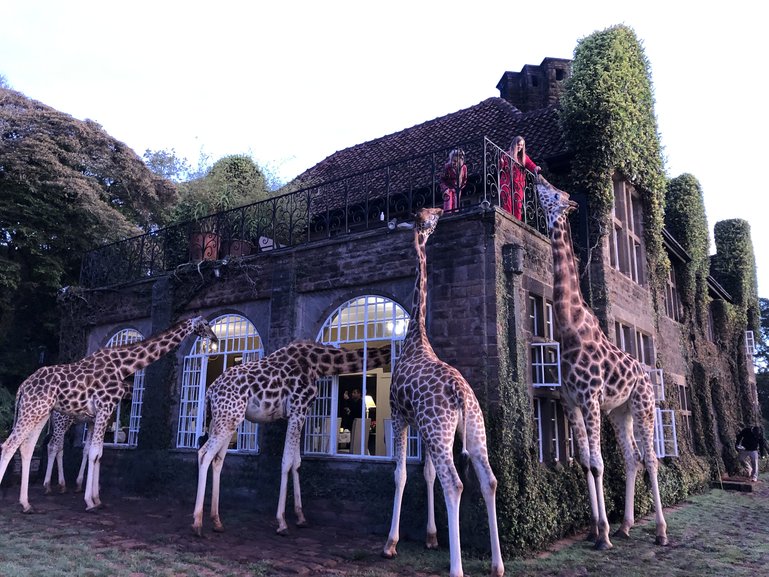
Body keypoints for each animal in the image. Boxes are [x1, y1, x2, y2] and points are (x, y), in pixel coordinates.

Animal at [0, 316, 217, 513]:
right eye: (206, 324)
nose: (215, 338)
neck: (124, 367)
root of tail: (22, 387)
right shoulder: (105, 408)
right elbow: (95, 453)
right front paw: (90, 502)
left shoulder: (99, 415)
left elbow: (95, 453)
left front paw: (96, 498)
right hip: (37, 411)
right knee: (12, 445)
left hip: (41, 413)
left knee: (27, 448)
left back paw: (27, 504)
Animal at [191, 340, 392, 537]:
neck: (320, 363)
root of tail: (210, 391)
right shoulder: (298, 409)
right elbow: (287, 461)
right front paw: (282, 522)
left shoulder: (297, 413)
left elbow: (296, 463)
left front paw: (301, 518)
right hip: (228, 417)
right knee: (204, 454)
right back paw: (198, 523)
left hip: (228, 418)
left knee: (217, 460)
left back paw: (217, 521)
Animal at [382, 208, 504, 577]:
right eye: (427, 217)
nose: (440, 211)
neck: (415, 338)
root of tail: (462, 395)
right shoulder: (423, 427)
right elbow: (426, 473)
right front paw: (431, 536)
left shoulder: (399, 414)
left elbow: (401, 474)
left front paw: (390, 543)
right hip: (473, 431)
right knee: (489, 480)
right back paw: (497, 564)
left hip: (439, 428)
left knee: (456, 482)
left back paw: (456, 568)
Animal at [535, 177, 668, 549]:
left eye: (556, 194)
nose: (537, 179)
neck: (569, 325)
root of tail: (646, 375)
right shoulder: (571, 402)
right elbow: (584, 464)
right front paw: (597, 528)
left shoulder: (591, 399)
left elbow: (597, 464)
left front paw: (602, 536)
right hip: (619, 412)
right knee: (632, 457)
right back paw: (626, 526)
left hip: (642, 406)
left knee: (650, 458)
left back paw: (660, 532)